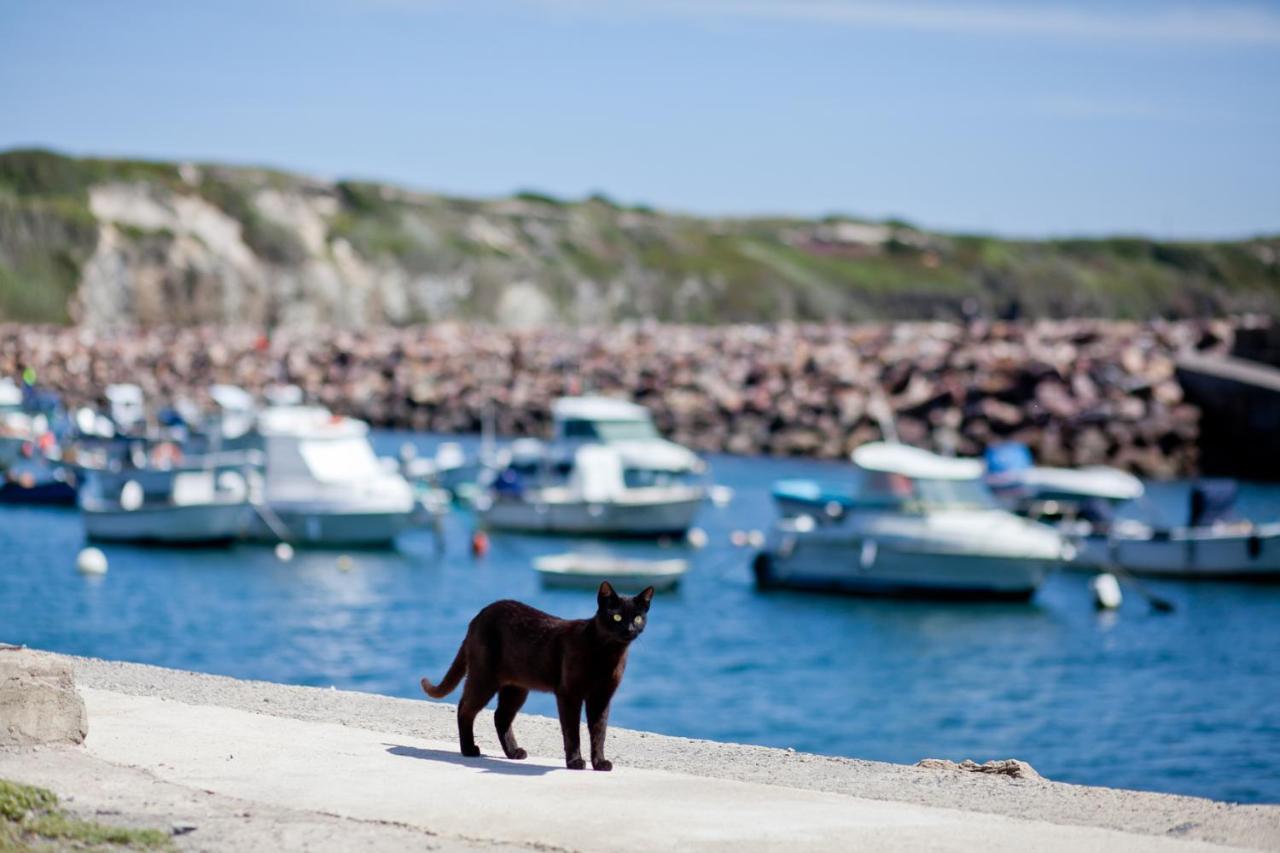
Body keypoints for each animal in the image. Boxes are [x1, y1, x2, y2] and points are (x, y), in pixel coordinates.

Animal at [424, 581, 655, 768]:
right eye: (616, 616)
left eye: (637, 618)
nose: (629, 629)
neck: (609, 653)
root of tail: (478, 617)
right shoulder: (569, 694)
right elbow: (572, 730)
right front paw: (575, 762)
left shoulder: (601, 697)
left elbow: (599, 732)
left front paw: (600, 763)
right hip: (484, 677)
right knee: (465, 708)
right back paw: (469, 749)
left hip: (516, 687)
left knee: (501, 716)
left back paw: (513, 752)